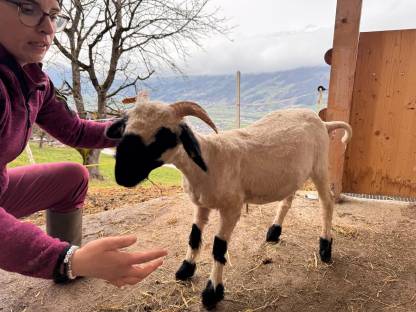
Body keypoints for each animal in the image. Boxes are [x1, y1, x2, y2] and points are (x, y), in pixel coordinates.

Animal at [106, 97, 352, 310]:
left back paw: (325, 248)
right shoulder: (201, 204)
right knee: (287, 200)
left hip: (319, 167)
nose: (122, 176)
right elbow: (194, 237)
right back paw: (274, 232)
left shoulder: (231, 208)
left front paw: (212, 293)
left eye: (164, 135)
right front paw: (185, 270)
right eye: (125, 129)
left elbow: (218, 249)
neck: (210, 159)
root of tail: (323, 122)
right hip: (293, 174)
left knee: (327, 204)